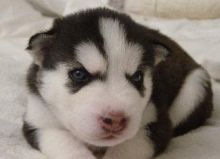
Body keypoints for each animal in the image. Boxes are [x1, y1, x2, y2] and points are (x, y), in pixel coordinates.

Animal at [22, 7, 213, 159]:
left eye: (137, 77)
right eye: (78, 74)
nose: (115, 119)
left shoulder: (157, 123)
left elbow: (128, 148)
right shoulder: (39, 122)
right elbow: (66, 144)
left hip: (196, 88)